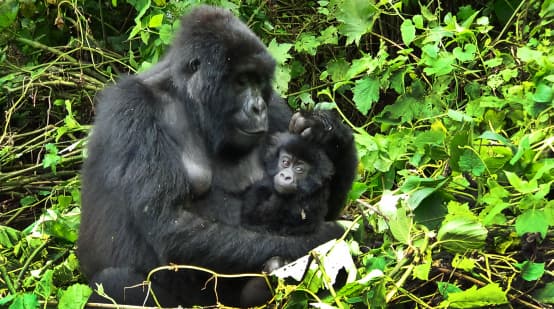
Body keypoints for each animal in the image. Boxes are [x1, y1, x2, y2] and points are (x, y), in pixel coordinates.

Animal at [76, 4, 354, 306]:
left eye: (258, 82)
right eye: (241, 81)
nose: (258, 107)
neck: (187, 99)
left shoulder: (275, 107)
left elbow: (323, 200)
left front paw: (327, 130)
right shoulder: (131, 107)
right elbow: (170, 223)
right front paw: (330, 236)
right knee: (114, 281)